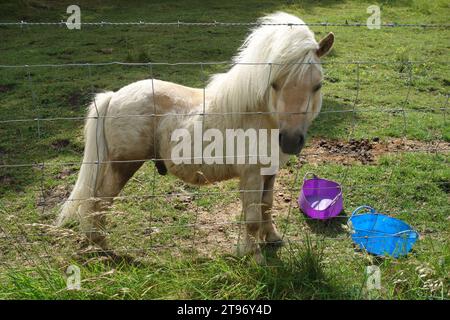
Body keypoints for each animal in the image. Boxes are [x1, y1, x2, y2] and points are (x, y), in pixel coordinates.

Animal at [56, 12, 332, 262]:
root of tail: (114, 96)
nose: (291, 141)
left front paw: (272, 238)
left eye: (317, 85)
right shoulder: (251, 175)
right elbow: (252, 218)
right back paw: (100, 243)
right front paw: (254, 256)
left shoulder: (269, 172)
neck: (259, 117)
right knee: (100, 201)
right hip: (123, 166)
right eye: (274, 84)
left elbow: (267, 205)